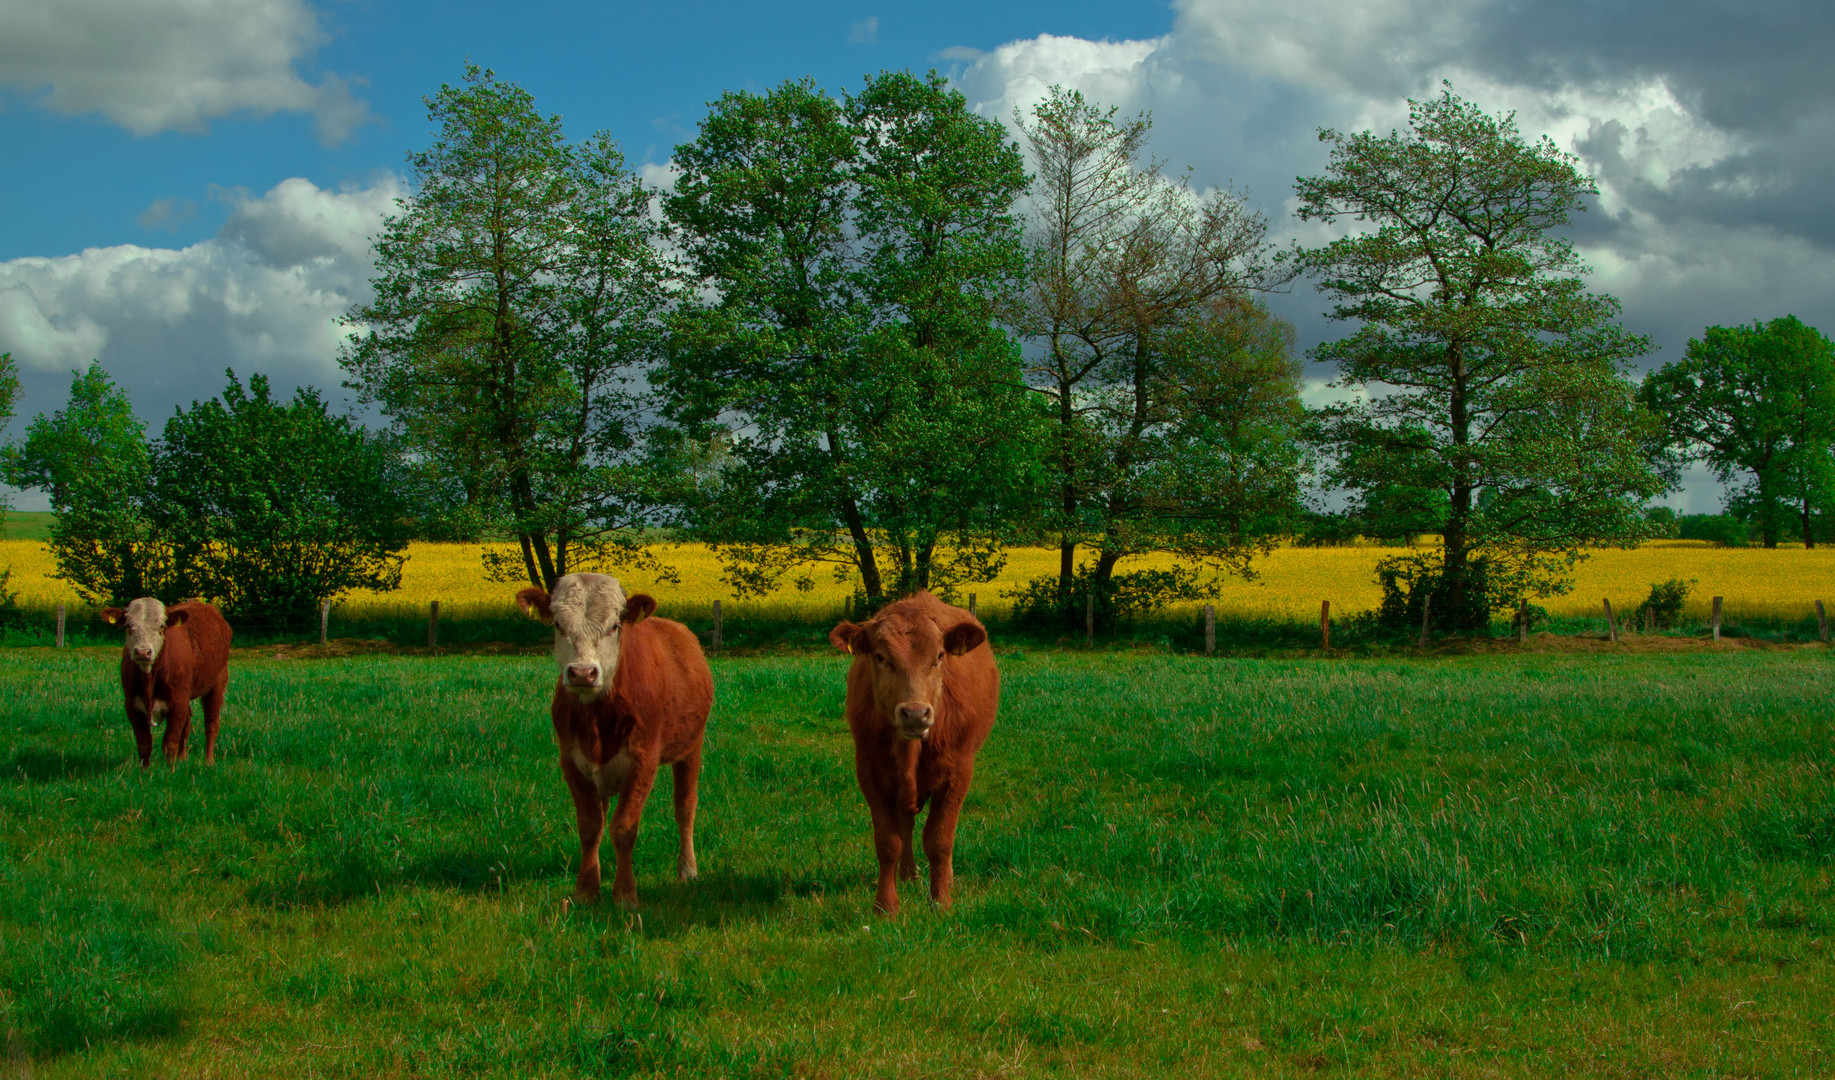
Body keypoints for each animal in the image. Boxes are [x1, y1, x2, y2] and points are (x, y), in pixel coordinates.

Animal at [99, 597, 233, 766]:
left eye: (161, 626)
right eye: (129, 626)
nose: (143, 652)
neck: (149, 679)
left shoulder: (177, 703)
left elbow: (170, 743)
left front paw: (170, 770)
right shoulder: (132, 705)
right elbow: (144, 744)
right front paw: (146, 771)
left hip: (217, 683)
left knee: (211, 724)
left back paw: (209, 761)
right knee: (187, 726)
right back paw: (182, 758)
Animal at [524, 572, 715, 909]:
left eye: (614, 625)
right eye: (558, 624)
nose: (582, 673)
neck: (598, 716)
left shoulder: (643, 762)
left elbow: (624, 827)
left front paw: (625, 894)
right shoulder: (572, 763)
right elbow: (590, 827)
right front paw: (586, 890)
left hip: (691, 746)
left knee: (685, 806)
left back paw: (687, 868)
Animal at [836, 590, 1005, 909]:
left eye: (939, 656)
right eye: (881, 657)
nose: (915, 714)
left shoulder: (958, 772)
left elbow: (939, 839)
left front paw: (941, 901)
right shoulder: (869, 770)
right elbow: (888, 841)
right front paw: (886, 906)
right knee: (906, 823)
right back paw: (907, 875)